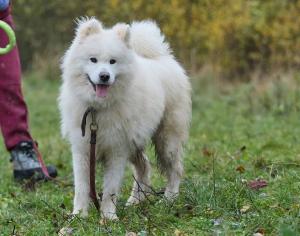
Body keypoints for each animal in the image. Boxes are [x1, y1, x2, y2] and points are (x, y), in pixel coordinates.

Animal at [57, 17, 191, 220]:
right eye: (93, 59)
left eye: (113, 61)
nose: (104, 76)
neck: (98, 109)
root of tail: (163, 58)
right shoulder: (82, 150)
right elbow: (81, 188)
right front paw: (79, 215)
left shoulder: (117, 150)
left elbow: (110, 188)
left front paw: (108, 217)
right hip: (135, 142)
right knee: (144, 168)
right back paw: (135, 202)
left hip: (167, 140)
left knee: (175, 170)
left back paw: (169, 199)